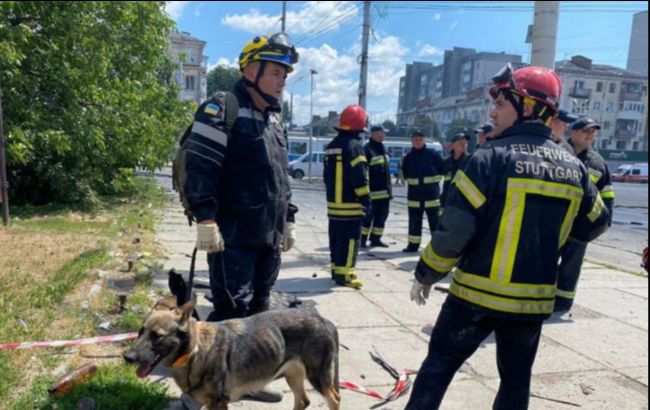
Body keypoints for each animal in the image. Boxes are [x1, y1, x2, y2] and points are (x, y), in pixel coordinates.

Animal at [123, 296, 342, 410]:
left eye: (156, 336)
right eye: (140, 331)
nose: (127, 357)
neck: (195, 351)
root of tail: (325, 321)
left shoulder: (219, 403)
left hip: (318, 377)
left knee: (334, 399)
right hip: (293, 375)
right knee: (303, 400)